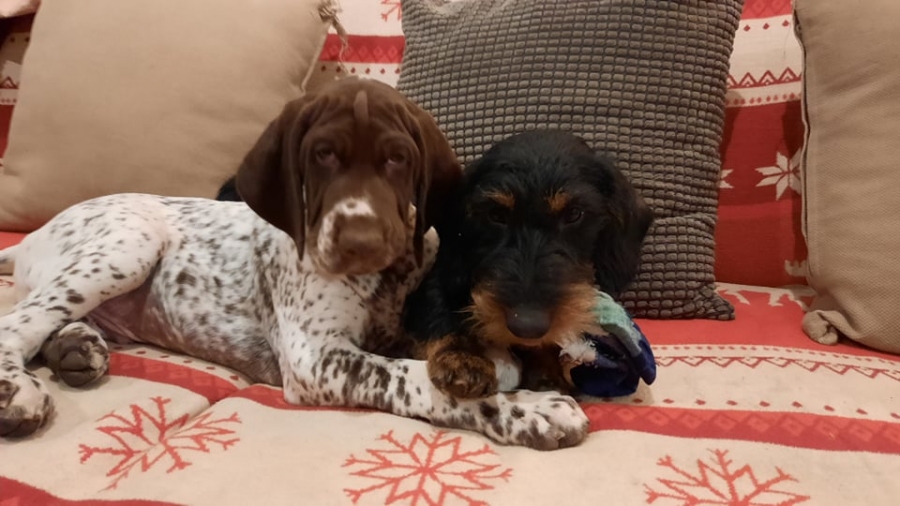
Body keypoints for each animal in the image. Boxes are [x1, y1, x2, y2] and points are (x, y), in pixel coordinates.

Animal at [0, 78, 590, 450]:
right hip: (131, 242)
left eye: (398, 158)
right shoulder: (316, 357)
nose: (359, 238)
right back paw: (19, 392)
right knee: (17, 323)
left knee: (47, 320)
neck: (380, 279)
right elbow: (417, 380)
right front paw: (531, 410)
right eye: (322, 155)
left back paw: (77, 348)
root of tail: (35, 234)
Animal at [403, 130, 654, 399]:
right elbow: (438, 309)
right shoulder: (436, 281)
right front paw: (461, 357)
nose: (527, 326)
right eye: (496, 215)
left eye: (574, 214)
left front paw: (547, 370)